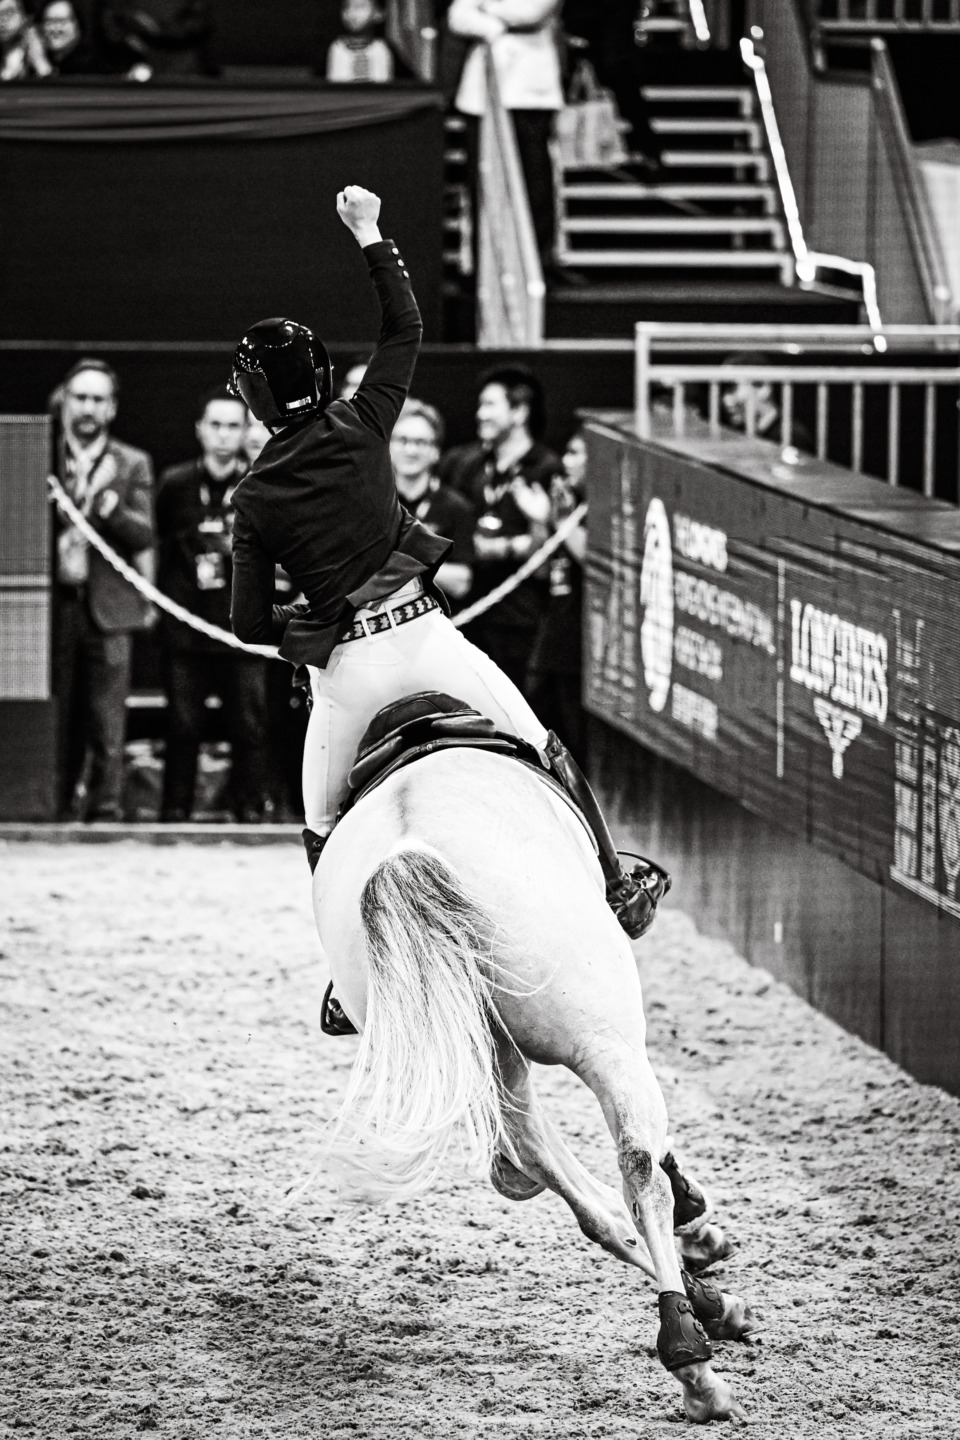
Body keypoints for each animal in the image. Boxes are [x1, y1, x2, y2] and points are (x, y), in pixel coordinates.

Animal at [312, 741, 752, 1424]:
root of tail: (408, 854)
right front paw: (698, 1220)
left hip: (492, 1052)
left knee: (549, 1165)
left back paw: (701, 1306)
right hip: (602, 1036)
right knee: (636, 1168)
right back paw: (695, 1357)